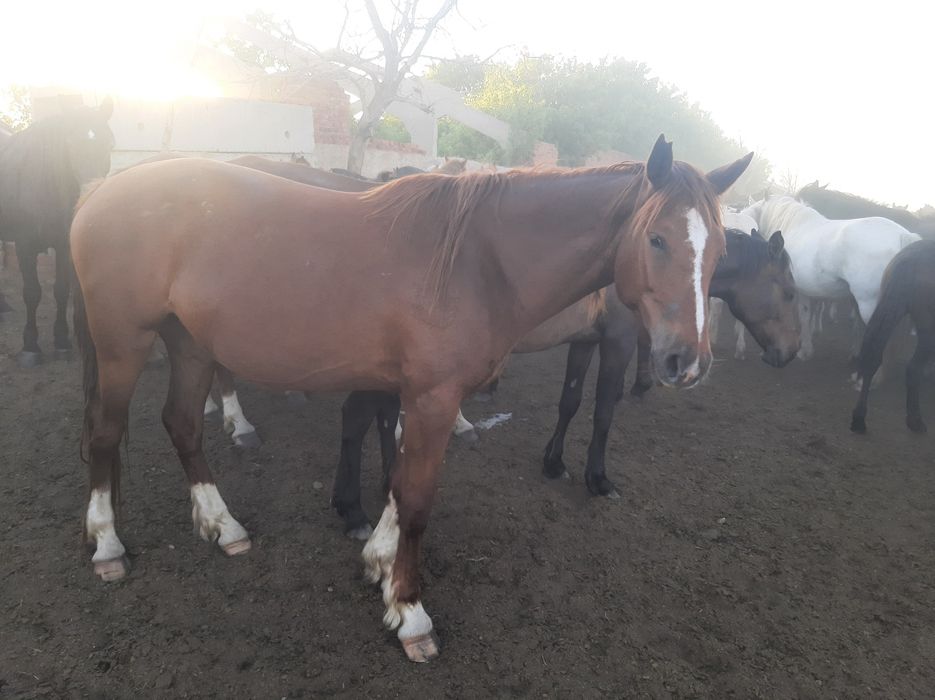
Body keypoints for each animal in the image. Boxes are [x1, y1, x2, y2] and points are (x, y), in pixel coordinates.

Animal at [0, 98, 114, 366]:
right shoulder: (24, 245)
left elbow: (61, 290)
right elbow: (32, 293)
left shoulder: (64, 245)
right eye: (70, 144)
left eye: (109, 143)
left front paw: (62, 341)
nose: (91, 197)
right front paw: (30, 346)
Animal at [71, 137, 752, 661]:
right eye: (658, 239)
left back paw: (222, 524)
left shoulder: (416, 396)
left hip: (190, 345)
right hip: (123, 342)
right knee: (104, 432)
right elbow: (418, 499)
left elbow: (398, 483)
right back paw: (106, 545)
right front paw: (409, 611)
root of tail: (101, 189)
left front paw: (377, 560)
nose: (686, 362)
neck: (480, 261)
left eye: (721, 248)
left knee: (183, 424)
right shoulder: (432, 397)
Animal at [332, 228, 799, 537]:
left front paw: (553, 463)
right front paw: (599, 479)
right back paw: (352, 510)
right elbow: (603, 412)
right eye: (791, 291)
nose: (790, 354)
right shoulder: (618, 342)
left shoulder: (585, 341)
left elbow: (570, 402)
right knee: (355, 418)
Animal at [742, 196, 920, 363]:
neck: (796, 226)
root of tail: (903, 236)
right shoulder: (813, 291)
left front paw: (804, 351)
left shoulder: (800, 292)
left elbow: (804, 317)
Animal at [851, 239, 935, 434]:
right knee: (913, 368)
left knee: (872, 360)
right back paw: (915, 421)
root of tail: (913, 258)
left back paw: (859, 419)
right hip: (929, 330)